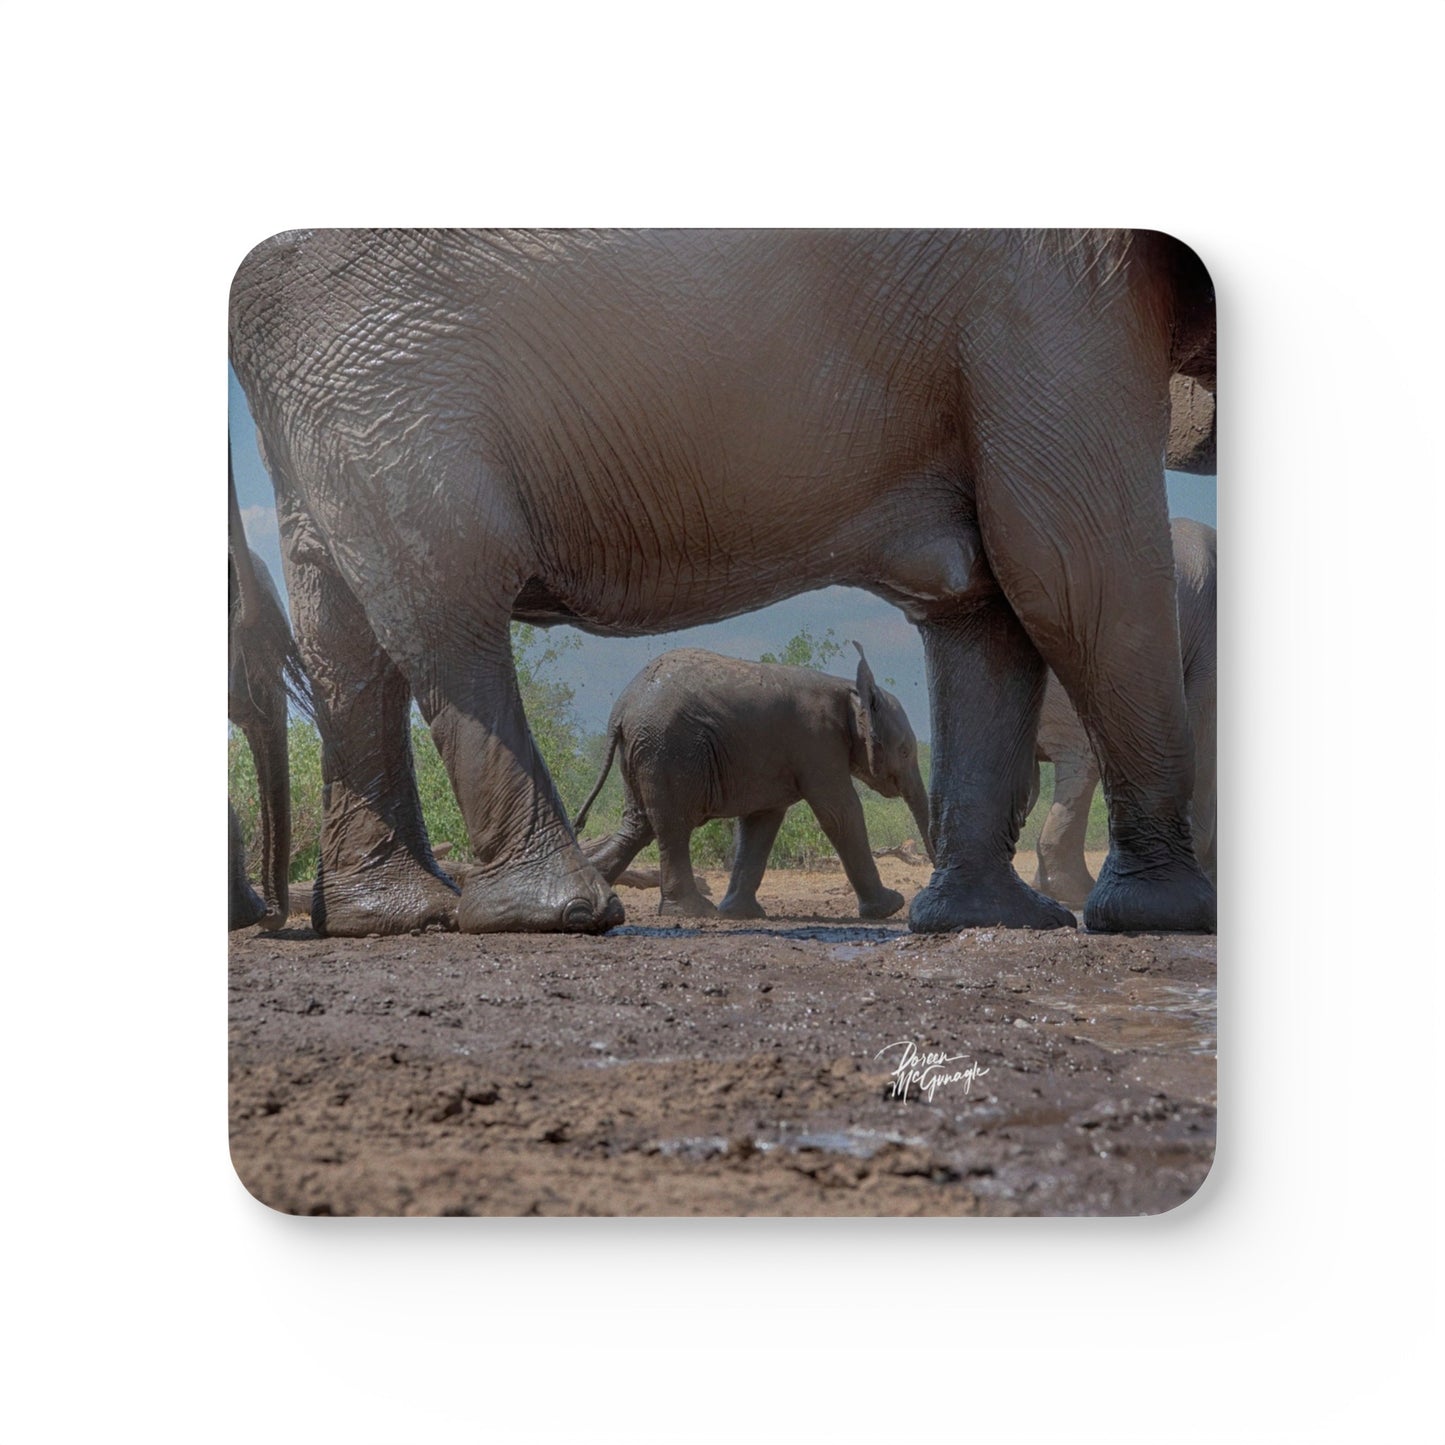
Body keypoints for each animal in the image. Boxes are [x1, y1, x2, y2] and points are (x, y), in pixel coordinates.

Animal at [572, 644, 933, 919]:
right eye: (904, 751)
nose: (922, 895)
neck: (849, 689)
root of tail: (622, 708)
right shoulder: (818, 744)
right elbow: (840, 814)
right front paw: (891, 907)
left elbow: (761, 824)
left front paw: (741, 913)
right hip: (667, 748)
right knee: (672, 826)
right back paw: (695, 912)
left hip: (643, 751)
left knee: (638, 826)